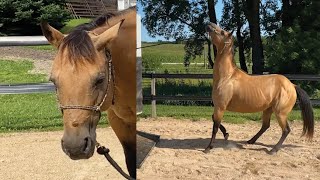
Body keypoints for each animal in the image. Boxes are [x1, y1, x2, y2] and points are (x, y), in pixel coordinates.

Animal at [205, 22, 312, 155]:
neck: (227, 77)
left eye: (222, 32)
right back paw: (251, 141)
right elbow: (214, 120)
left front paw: (208, 148)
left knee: (286, 130)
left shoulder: (220, 107)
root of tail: (292, 85)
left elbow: (215, 126)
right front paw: (226, 134)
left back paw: (273, 150)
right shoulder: (219, 108)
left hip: (280, 113)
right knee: (265, 126)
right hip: (268, 110)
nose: (209, 24)